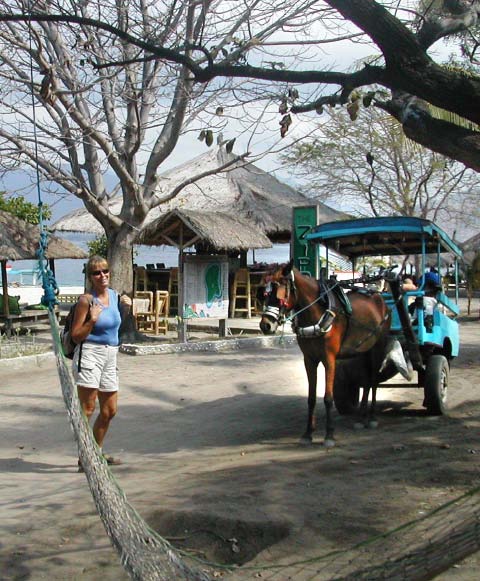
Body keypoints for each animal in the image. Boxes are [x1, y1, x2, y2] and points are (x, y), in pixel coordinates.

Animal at [258, 260, 392, 447]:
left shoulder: (329, 359)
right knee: (366, 380)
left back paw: (371, 417)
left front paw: (329, 434)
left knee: (373, 380)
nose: (265, 325)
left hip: (378, 347)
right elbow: (311, 397)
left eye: (279, 292)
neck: (318, 312)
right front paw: (308, 433)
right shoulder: (309, 359)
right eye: (264, 293)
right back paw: (361, 417)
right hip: (363, 350)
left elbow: (328, 398)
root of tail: (379, 297)